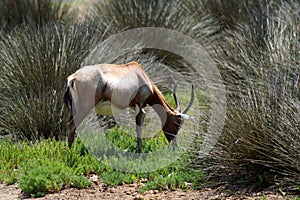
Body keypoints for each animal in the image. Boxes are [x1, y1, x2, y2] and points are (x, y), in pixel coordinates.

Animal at [63, 61, 195, 153]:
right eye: (177, 123)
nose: (175, 146)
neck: (139, 73)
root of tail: (73, 77)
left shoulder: (134, 107)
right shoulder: (140, 107)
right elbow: (139, 128)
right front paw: (140, 152)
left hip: (75, 108)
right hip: (85, 107)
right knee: (71, 125)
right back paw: (70, 152)